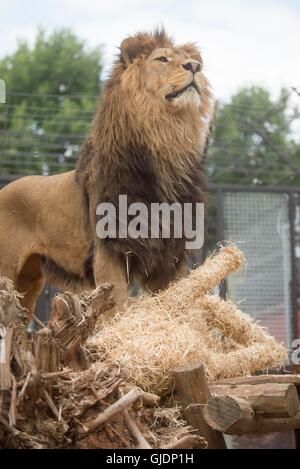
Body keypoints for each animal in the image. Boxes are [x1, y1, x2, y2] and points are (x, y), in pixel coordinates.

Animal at [0, 29, 213, 318]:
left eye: (192, 61)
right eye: (162, 59)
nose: (195, 67)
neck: (165, 150)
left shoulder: (169, 256)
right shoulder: (109, 253)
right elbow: (118, 308)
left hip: (28, 280)